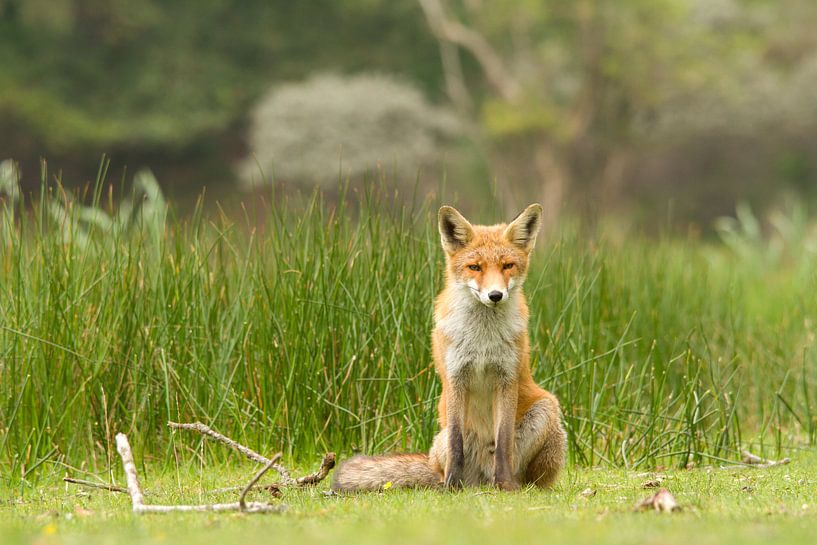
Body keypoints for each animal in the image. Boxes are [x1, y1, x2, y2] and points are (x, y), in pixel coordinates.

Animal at [331, 203, 566, 491]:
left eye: (507, 266)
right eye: (474, 267)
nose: (495, 295)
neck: (482, 340)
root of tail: (481, 479)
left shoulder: (506, 378)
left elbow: (503, 443)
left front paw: (506, 485)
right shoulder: (456, 377)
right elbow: (457, 443)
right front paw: (452, 486)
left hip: (547, 409)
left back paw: (512, 484)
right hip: (440, 440)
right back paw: (452, 483)